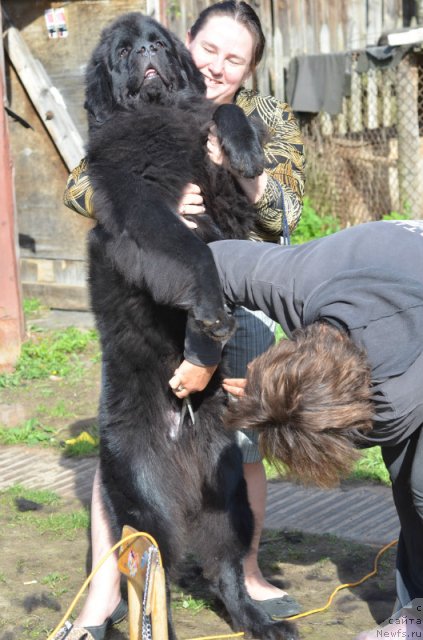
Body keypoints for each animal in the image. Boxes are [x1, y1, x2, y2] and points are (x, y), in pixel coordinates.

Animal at [85, 11, 296, 640]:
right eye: (123, 52)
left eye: (156, 41)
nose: (147, 53)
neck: (155, 114)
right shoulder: (147, 208)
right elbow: (192, 252)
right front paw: (208, 311)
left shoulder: (222, 189)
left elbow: (226, 115)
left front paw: (247, 152)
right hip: (142, 500)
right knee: (155, 581)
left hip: (229, 495)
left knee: (226, 567)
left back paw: (261, 621)